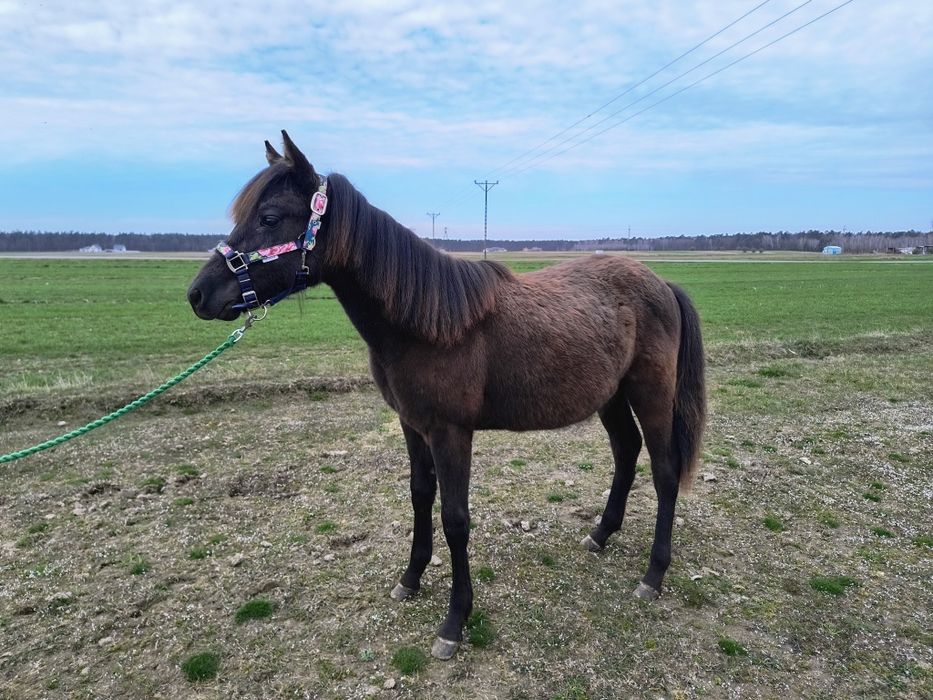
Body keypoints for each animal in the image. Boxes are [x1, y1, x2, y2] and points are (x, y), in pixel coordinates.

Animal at [187, 131, 706, 660]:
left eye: (270, 218)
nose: (198, 295)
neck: (425, 322)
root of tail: (662, 284)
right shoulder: (412, 425)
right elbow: (421, 497)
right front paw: (411, 578)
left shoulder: (451, 433)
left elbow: (455, 520)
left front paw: (454, 621)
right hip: (611, 395)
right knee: (626, 452)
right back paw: (600, 534)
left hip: (651, 392)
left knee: (664, 472)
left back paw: (653, 574)